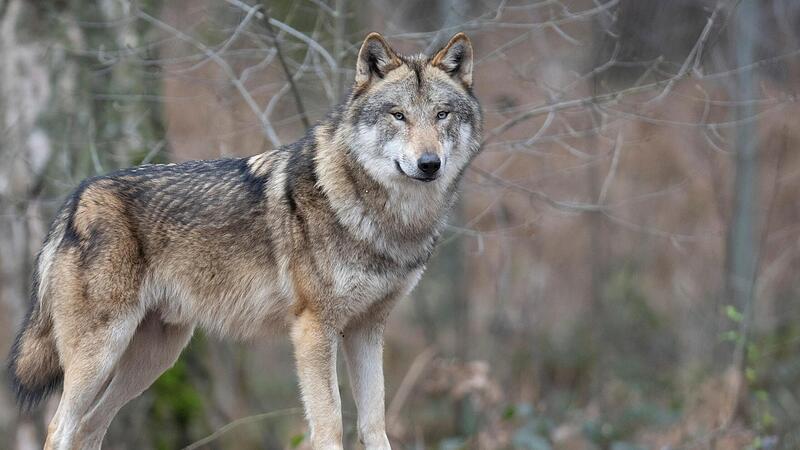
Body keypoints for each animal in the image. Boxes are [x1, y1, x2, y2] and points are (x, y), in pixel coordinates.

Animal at [7, 31, 481, 449]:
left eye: (442, 115)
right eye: (398, 115)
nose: (429, 163)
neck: (388, 219)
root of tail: (77, 196)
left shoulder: (367, 329)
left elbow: (375, 426)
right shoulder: (314, 329)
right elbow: (330, 426)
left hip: (154, 358)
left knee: (90, 428)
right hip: (102, 352)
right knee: (60, 428)